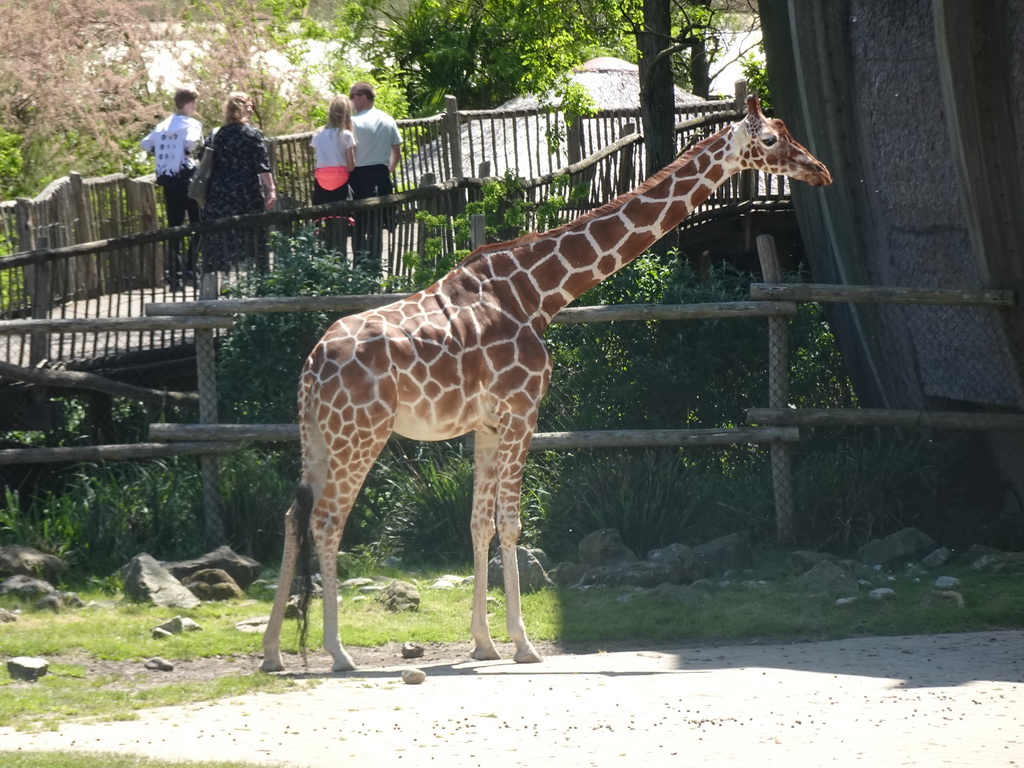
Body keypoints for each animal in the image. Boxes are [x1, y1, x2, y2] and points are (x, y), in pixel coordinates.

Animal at [260, 96, 827, 671]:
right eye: (772, 140)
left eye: (787, 133)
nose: (819, 170)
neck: (540, 292)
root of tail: (311, 367)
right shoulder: (522, 410)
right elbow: (510, 522)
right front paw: (524, 643)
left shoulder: (487, 424)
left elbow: (479, 523)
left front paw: (484, 643)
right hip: (361, 434)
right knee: (327, 521)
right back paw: (337, 652)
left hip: (319, 437)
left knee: (291, 515)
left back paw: (272, 653)